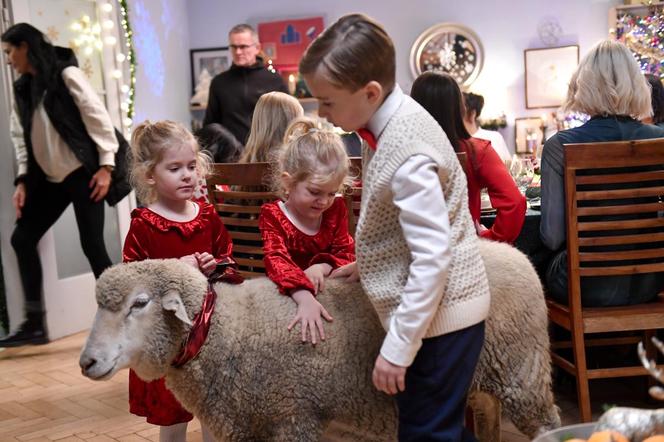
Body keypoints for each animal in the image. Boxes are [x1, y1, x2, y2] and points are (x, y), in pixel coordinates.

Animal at [79, 240, 560, 440]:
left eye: (140, 303)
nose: (86, 363)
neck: (224, 331)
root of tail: (516, 254)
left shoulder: (293, 417)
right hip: (485, 380)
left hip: (523, 371)